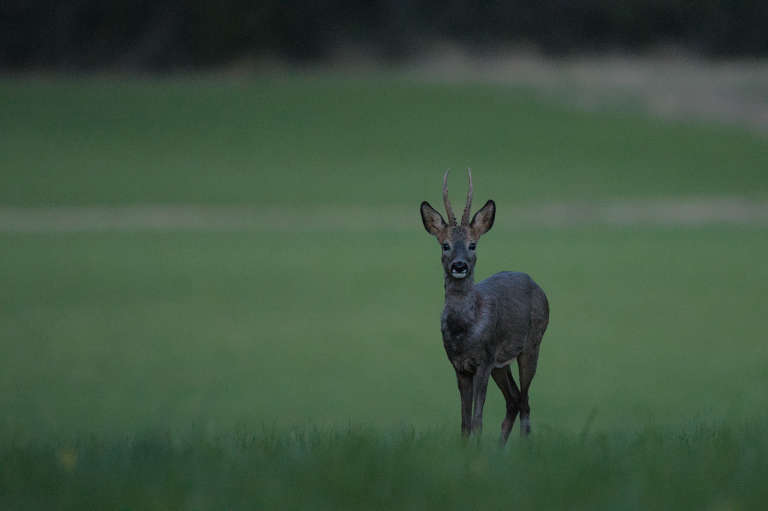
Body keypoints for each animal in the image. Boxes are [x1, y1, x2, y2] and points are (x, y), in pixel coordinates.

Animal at [416, 170, 548, 442]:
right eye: (445, 245)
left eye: (472, 244)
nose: (459, 265)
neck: (465, 330)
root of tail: (536, 285)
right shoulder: (459, 366)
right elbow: (465, 422)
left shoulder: (484, 360)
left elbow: (477, 420)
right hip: (502, 362)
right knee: (514, 399)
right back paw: (501, 447)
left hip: (532, 344)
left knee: (525, 400)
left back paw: (524, 445)